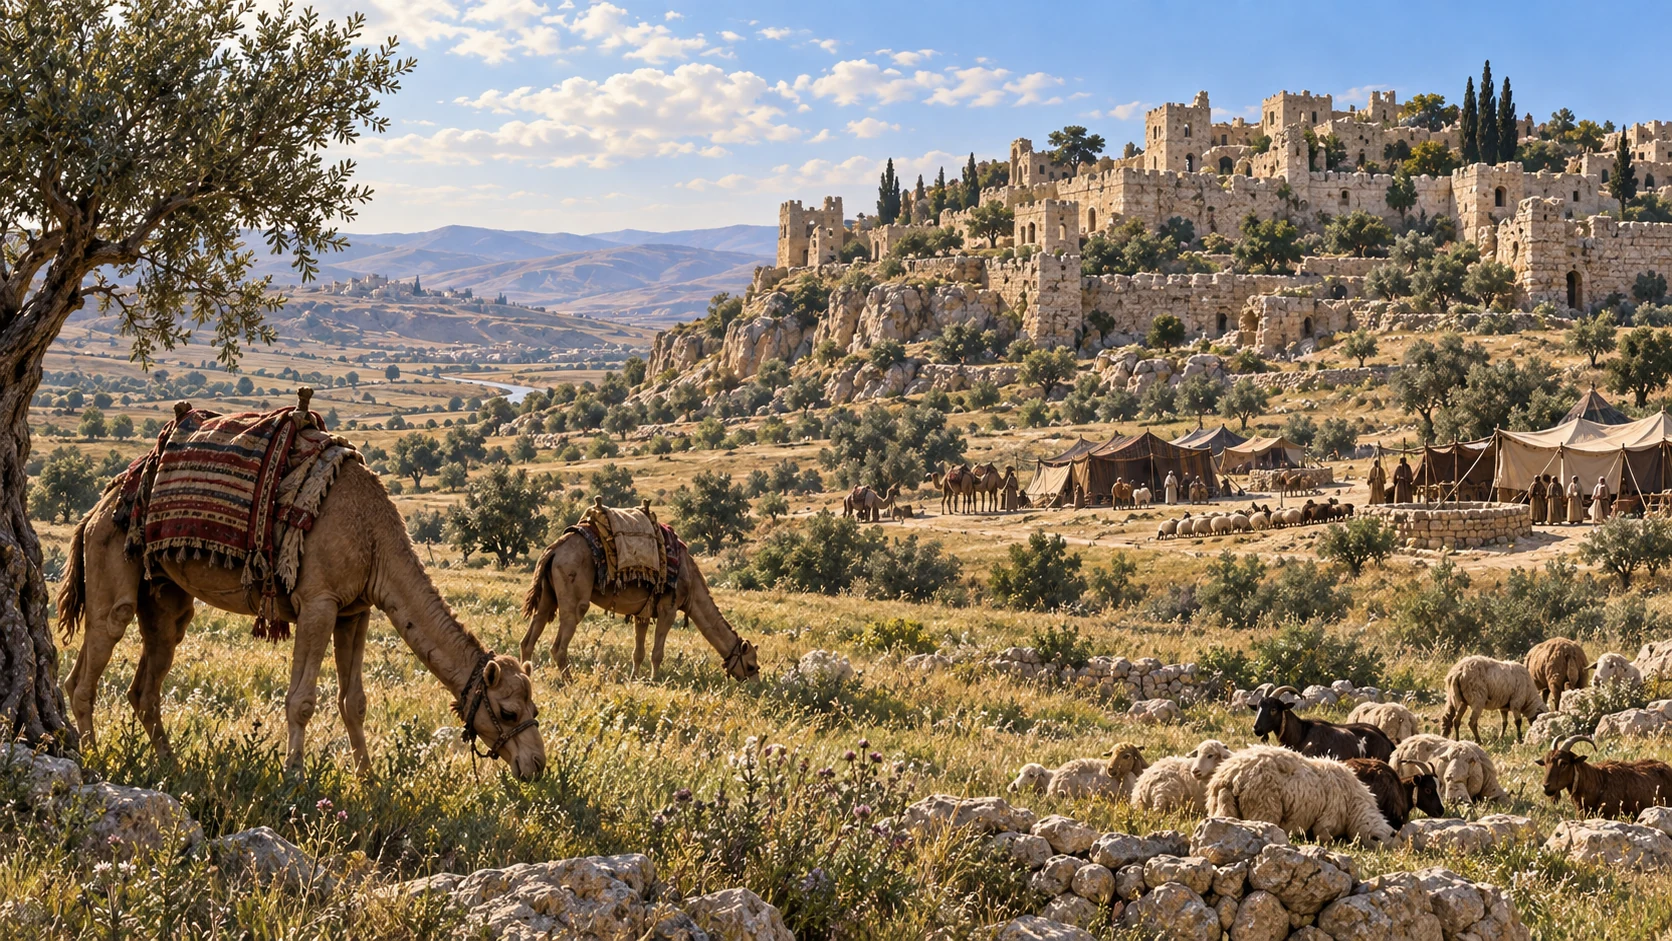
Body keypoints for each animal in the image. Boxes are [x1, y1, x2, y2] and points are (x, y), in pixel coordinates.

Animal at [59, 460, 547, 780]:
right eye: (507, 711)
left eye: (535, 708)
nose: (537, 764)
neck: (375, 540)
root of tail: (93, 512)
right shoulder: (318, 601)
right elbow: (302, 701)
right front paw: (294, 777)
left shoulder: (355, 609)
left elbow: (354, 701)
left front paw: (368, 779)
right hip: (110, 562)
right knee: (90, 667)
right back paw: (93, 759)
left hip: (163, 594)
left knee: (145, 678)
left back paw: (170, 763)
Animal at [519, 532, 760, 681]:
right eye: (750, 665)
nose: (755, 684)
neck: (691, 585)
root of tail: (554, 549)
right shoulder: (668, 607)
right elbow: (657, 652)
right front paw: (655, 680)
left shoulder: (642, 611)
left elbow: (639, 651)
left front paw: (634, 678)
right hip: (572, 588)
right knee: (559, 642)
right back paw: (570, 681)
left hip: (548, 594)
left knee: (531, 633)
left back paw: (525, 677)